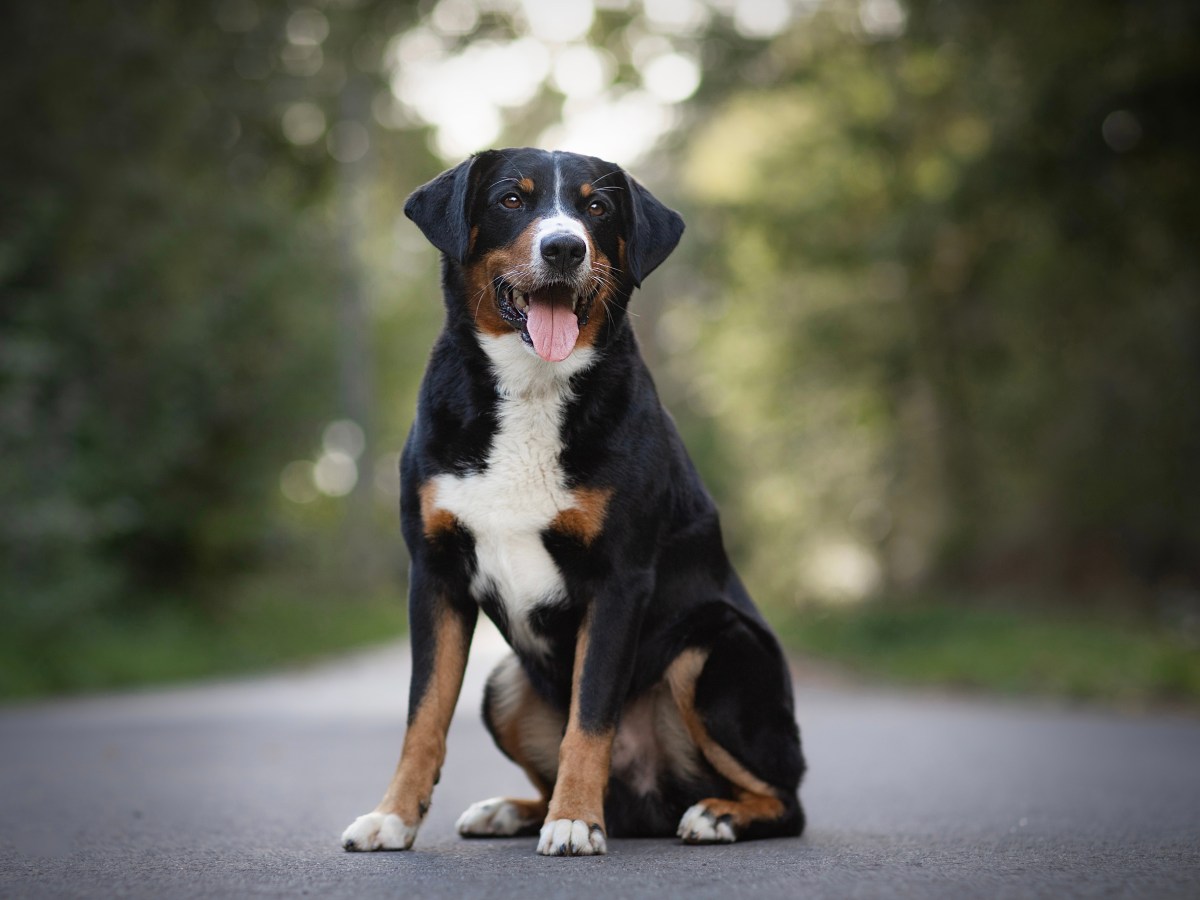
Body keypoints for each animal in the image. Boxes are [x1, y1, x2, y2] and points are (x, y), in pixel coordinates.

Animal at [340, 150, 806, 859]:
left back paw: (714, 814)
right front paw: (392, 816)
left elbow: (590, 718)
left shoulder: (619, 580)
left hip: (712, 651)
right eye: (511, 199)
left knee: (786, 798)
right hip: (505, 684)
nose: (564, 247)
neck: (533, 390)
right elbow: (424, 715)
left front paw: (575, 822)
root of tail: (647, 800)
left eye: (597, 208)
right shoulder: (435, 573)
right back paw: (511, 810)